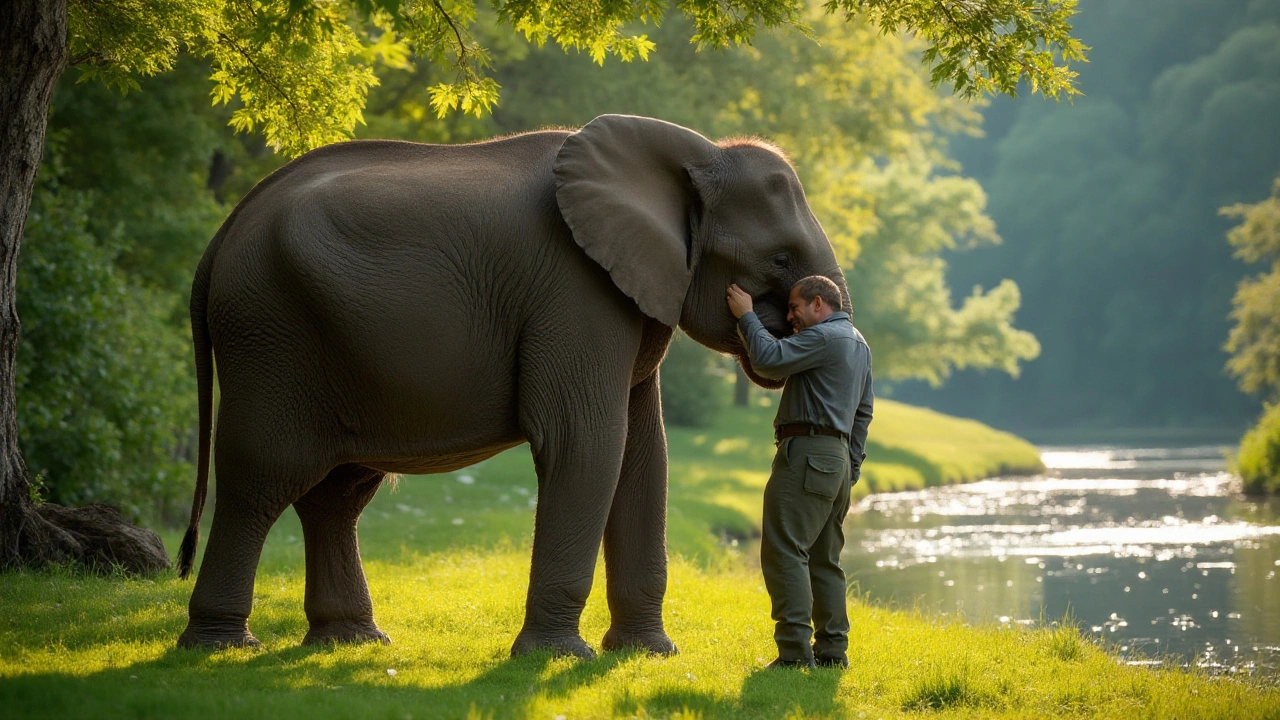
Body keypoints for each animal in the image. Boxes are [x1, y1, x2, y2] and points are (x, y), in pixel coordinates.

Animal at [172, 113, 849, 655]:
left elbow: (643, 456)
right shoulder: (575, 288)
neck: (694, 151)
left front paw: (648, 654)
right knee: (260, 479)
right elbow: (585, 443)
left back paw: (350, 641)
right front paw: (558, 657)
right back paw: (220, 645)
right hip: (270, 335)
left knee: (335, 495)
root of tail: (222, 234)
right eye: (780, 259)